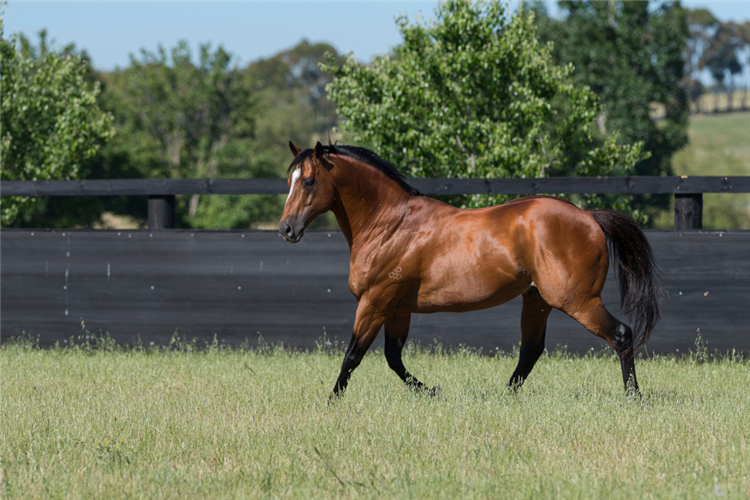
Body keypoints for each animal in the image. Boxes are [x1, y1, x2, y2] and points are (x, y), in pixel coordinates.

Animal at [280, 141, 660, 398]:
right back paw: (504, 397)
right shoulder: (397, 308)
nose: (286, 229)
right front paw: (430, 391)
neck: (391, 224)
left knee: (621, 335)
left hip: (576, 300)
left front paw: (332, 401)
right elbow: (392, 357)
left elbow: (353, 355)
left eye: (309, 181)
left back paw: (634, 396)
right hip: (537, 300)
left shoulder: (375, 302)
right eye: (290, 181)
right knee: (530, 350)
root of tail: (589, 216)